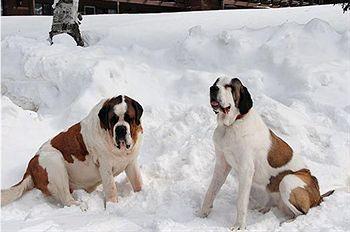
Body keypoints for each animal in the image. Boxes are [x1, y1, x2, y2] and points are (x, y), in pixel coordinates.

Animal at [1, 95, 144, 209]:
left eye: (129, 119)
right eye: (113, 120)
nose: (120, 129)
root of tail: (30, 167)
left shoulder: (131, 162)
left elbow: (137, 182)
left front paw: (141, 193)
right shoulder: (106, 167)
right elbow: (111, 189)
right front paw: (113, 206)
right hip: (55, 162)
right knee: (66, 198)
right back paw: (79, 205)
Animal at [200, 77, 334, 229]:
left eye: (229, 86)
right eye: (216, 83)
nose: (213, 88)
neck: (231, 125)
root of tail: (318, 194)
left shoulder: (246, 170)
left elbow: (241, 201)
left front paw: (239, 226)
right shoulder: (222, 164)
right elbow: (211, 190)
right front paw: (203, 213)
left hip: (288, 181)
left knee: (303, 213)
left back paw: (285, 222)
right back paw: (264, 209)